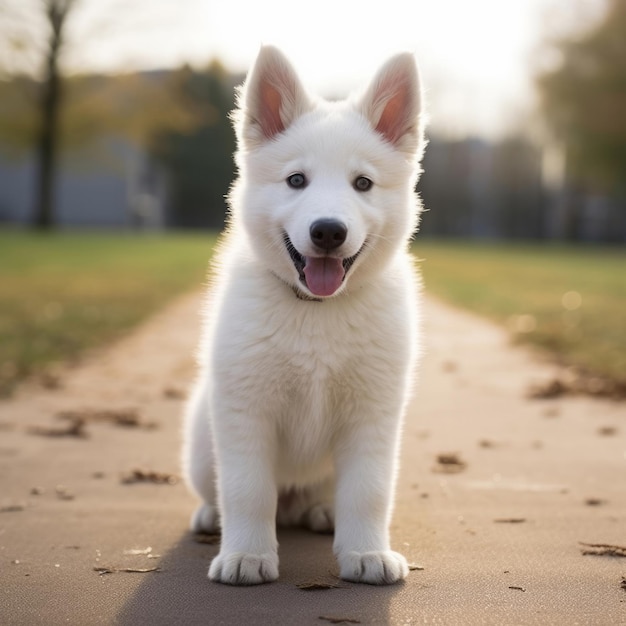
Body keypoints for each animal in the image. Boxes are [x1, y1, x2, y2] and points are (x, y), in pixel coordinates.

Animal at [180, 45, 424, 584]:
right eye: (296, 180)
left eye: (362, 183)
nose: (328, 231)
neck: (318, 311)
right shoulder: (246, 410)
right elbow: (247, 490)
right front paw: (247, 556)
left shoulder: (372, 414)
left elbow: (369, 491)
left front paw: (366, 553)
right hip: (202, 443)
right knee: (223, 492)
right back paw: (211, 517)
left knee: (328, 497)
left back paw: (322, 513)